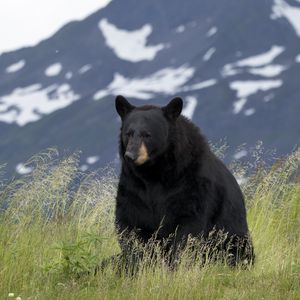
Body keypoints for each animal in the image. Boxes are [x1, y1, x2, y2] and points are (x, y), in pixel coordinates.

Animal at [113, 95, 254, 268]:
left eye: (147, 134)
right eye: (128, 133)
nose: (130, 155)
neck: (154, 172)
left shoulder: (192, 182)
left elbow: (188, 226)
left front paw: (175, 264)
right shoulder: (133, 186)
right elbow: (130, 221)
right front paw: (137, 262)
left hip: (234, 237)